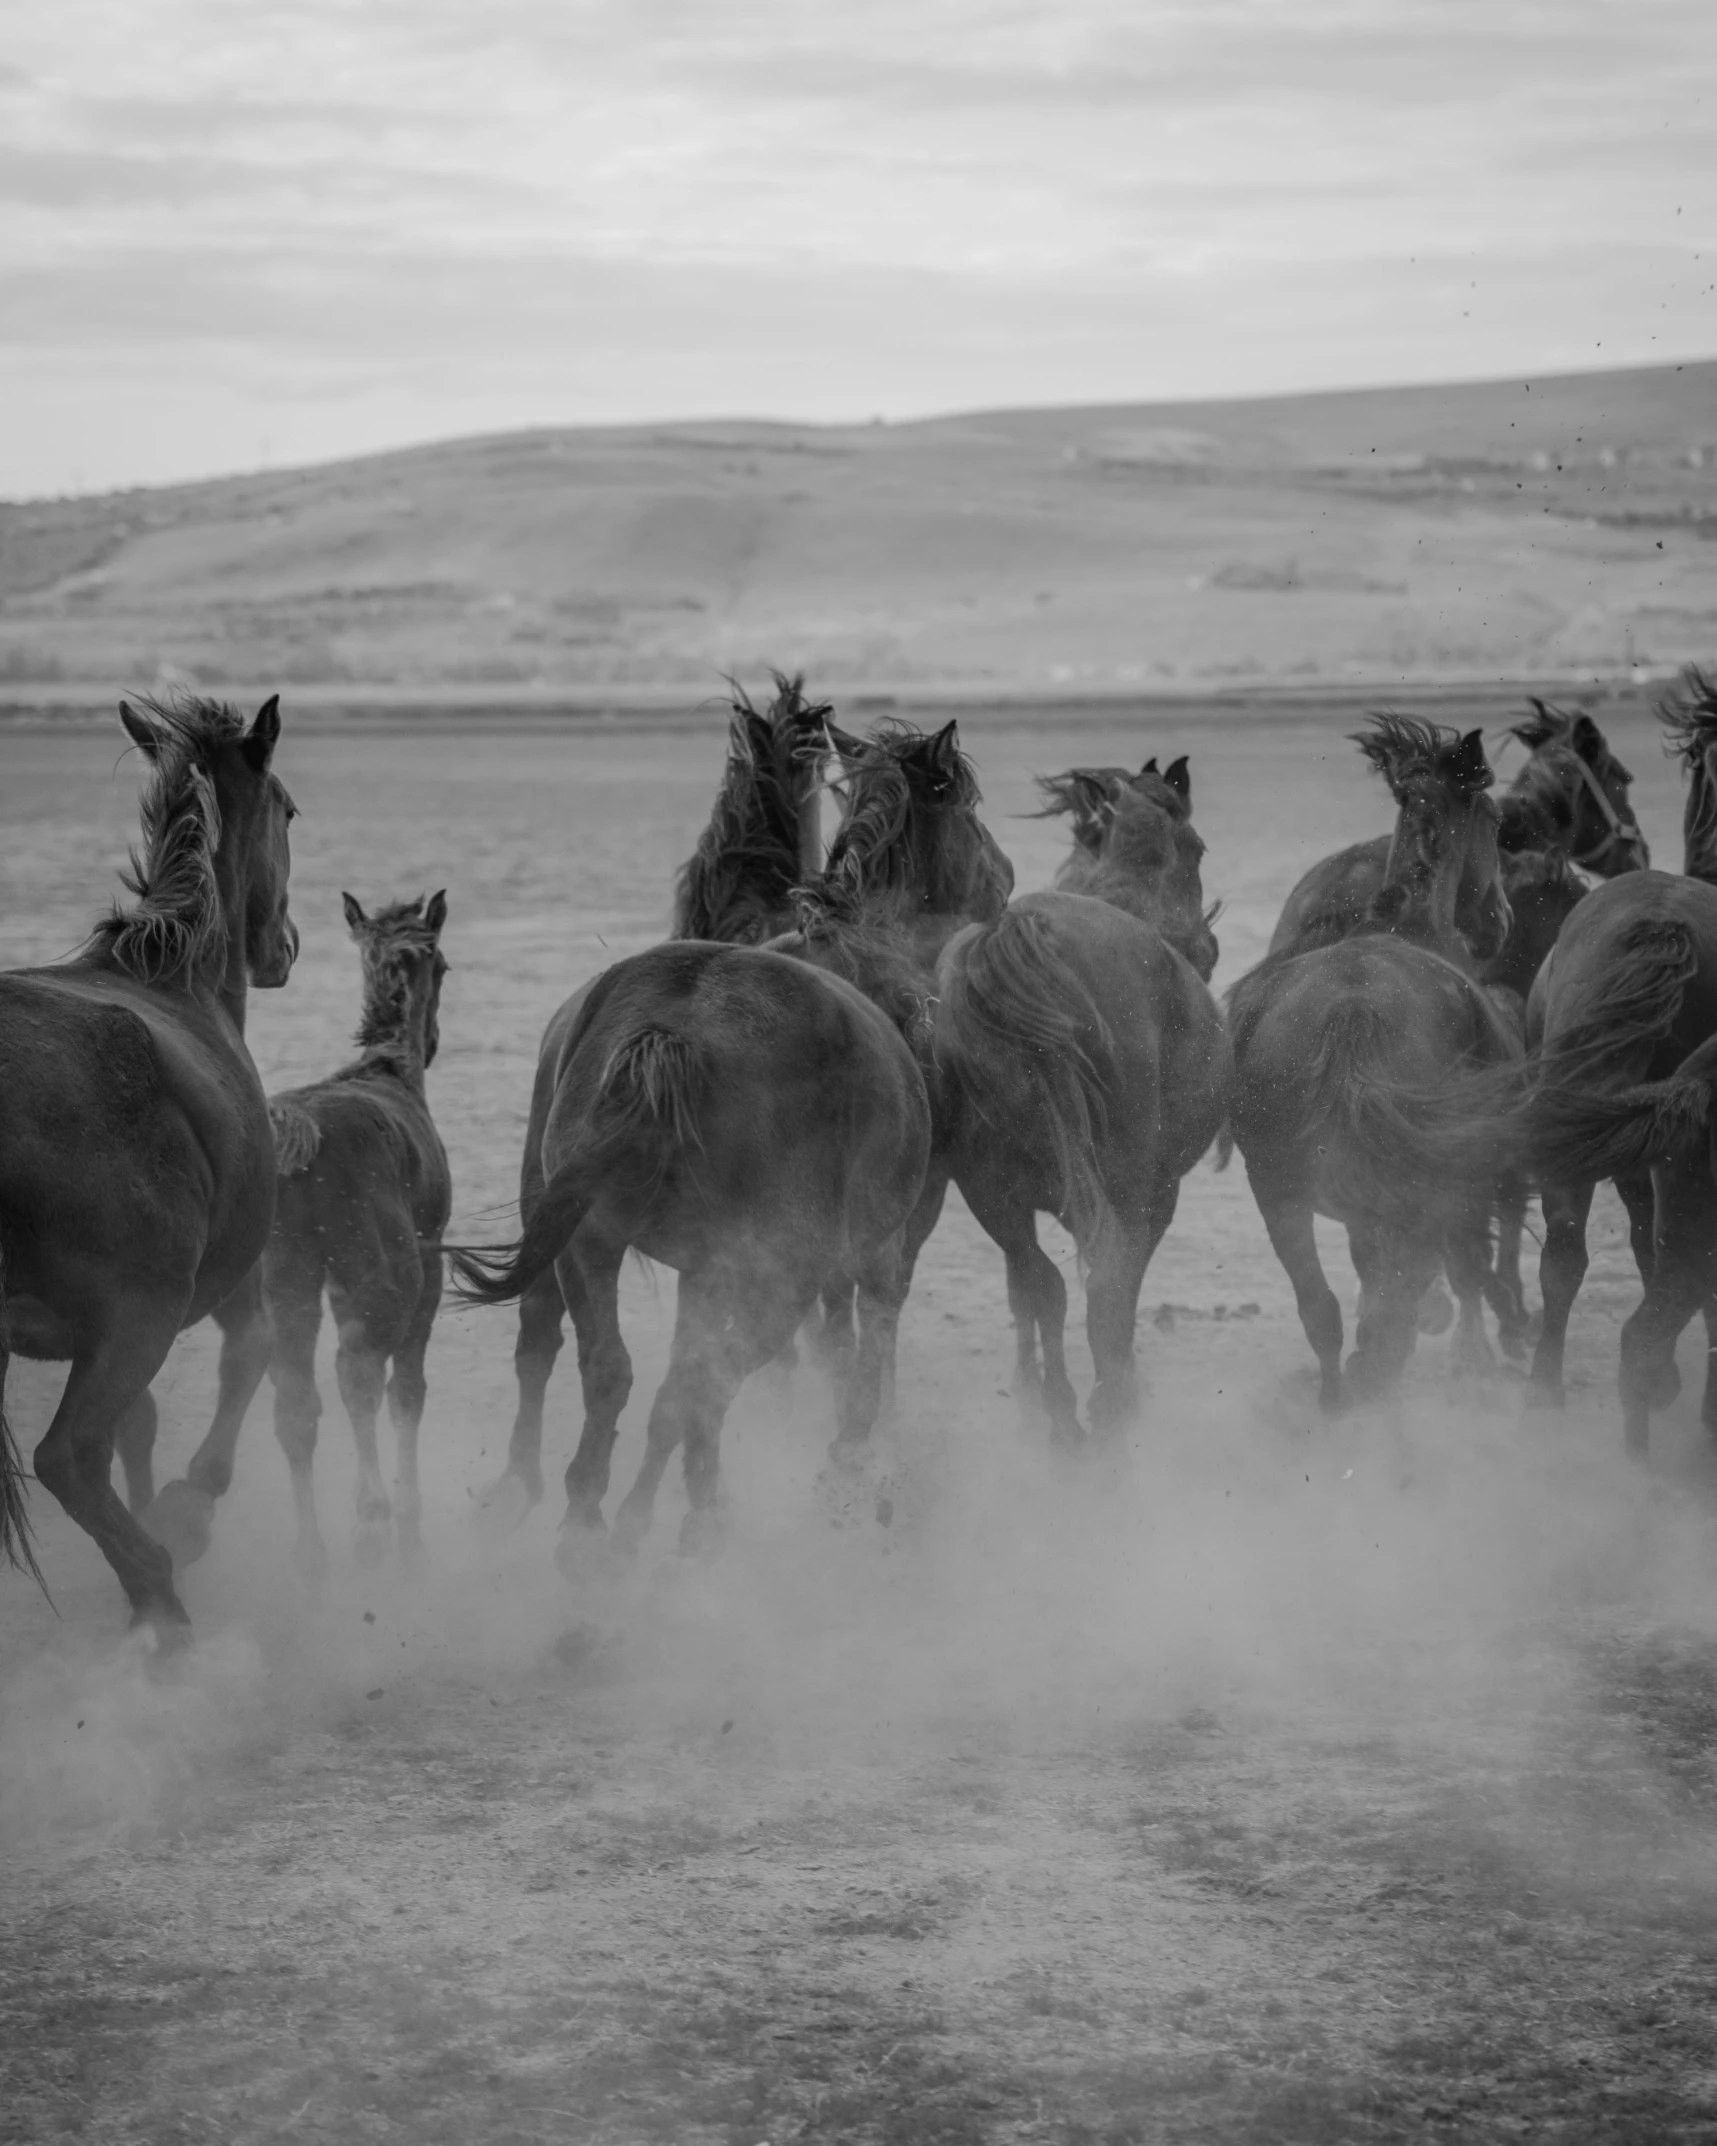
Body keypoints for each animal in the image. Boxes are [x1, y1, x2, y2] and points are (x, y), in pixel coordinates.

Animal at [0, 695, 296, 1630]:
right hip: (144, 1312)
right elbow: (251, 1357)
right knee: (66, 1458)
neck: (177, 978)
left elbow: (142, 1424)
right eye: (289, 810)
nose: (283, 947)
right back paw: (158, 1596)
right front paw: (187, 1511)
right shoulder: (216, 1288)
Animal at [931, 755, 1227, 1442]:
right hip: (1120, 1181)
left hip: (988, 1188)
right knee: (1106, 1281)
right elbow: (1124, 1285)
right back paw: (1108, 1405)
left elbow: (1025, 1294)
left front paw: (1029, 1388)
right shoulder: (1156, 1193)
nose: (1207, 949)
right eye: (1197, 848)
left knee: (1042, 1282)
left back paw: (1060, 1415)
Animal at [1219, 721, 1519, 1407]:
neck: (1410, 924)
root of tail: (1350, 1009)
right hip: (1411, 1198)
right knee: (1393, 1320)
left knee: (1327, 1314)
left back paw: (1339, 1399)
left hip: (1281, 1193)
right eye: (1494, 821)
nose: (1500, 921)